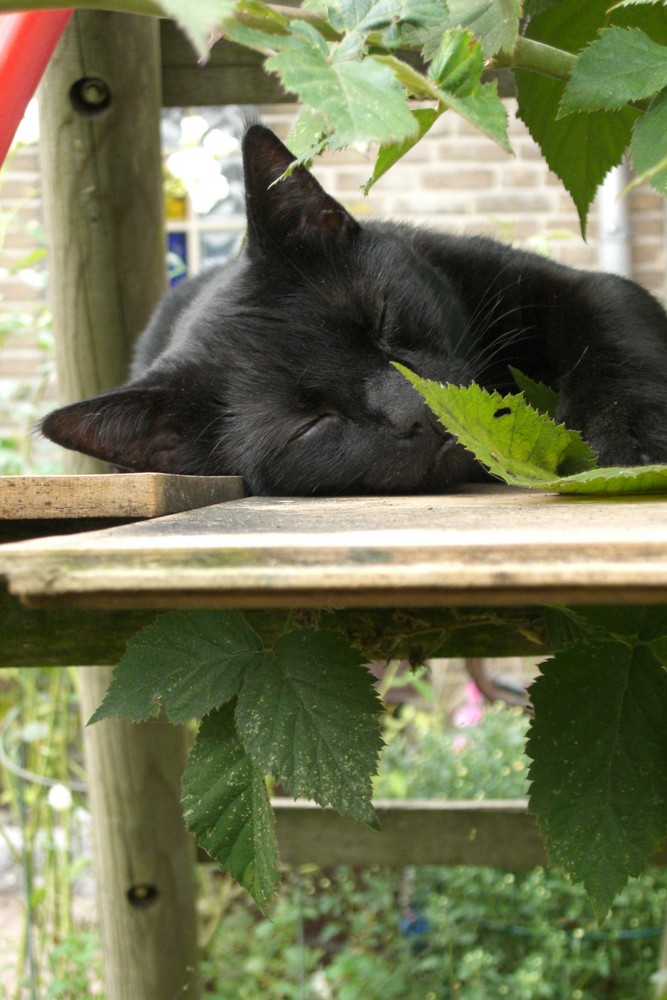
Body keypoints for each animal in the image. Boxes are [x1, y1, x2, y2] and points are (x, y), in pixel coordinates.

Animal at [41, 125, 667, 496]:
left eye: (381, 320)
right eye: (312, 425)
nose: (420, 410)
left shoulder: (564, 286)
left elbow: (614, 325)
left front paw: (626, 443)